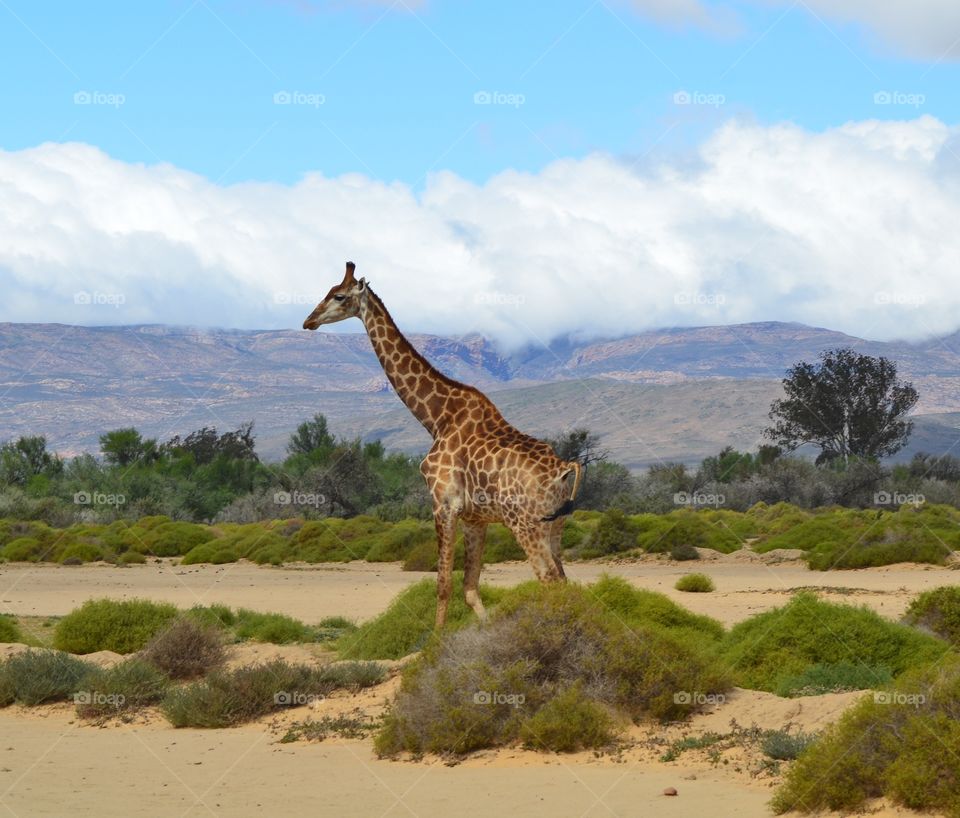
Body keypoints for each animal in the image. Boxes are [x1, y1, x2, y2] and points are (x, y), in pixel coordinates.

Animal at [304, 262, 580, 624]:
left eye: (338, 295)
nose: (309, 320)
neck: (436, 418)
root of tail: (565, 470)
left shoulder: (443, 504)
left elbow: (443, 585)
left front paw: (436, 639)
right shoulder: (476, 518)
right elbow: (469, 588)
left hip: (525, 523)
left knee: (548, 578)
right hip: (555, 525)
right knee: (562, 579)